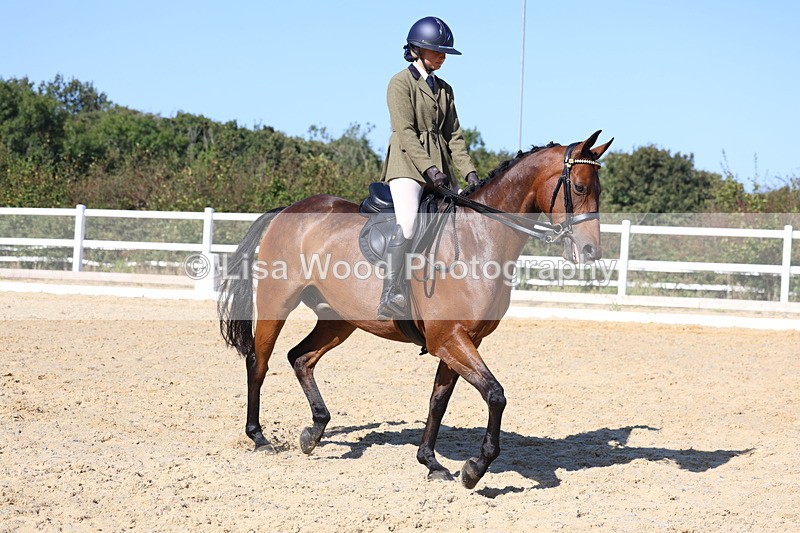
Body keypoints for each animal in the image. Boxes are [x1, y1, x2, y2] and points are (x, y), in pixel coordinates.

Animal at [217, 130, 613, 489]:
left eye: (599, 190)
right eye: (579, 188)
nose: (590, 251)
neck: (479, 238)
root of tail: (287, 210)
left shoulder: (462, 340)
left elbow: (439, 400)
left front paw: (431, 463)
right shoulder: (449, 339)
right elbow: (495, 395)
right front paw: (475, 468)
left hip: (339, 320)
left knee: (301, 357)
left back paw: (313, 432)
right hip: (277, 301)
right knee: (259, 361)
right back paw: (259, 438)